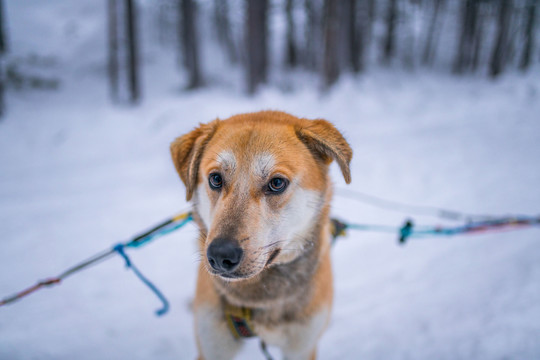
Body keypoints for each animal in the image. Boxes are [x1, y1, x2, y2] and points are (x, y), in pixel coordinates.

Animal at [171, 111, 352, 358]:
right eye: (215, 179)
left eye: (276, 183)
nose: (220, 254)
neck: (258, 299)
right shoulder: (212, 345)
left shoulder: (301, 347)